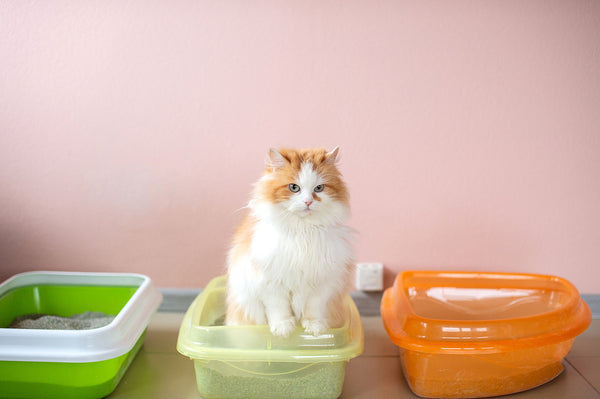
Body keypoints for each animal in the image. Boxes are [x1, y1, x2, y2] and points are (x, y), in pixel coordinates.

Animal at [226, 147, 356, 338]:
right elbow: (278, 309)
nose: (308, 201)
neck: (302, 230)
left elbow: (313, 308)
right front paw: (283, 328)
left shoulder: (322, 283)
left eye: (319, 188)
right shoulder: (271, 283)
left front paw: (315, 328)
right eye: (294, 187)